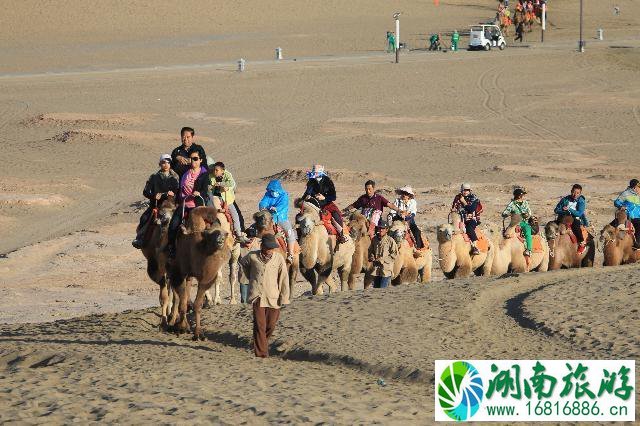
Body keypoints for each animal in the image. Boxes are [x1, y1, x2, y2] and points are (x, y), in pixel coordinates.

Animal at [141, 196, 180, 330]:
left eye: (174, 211)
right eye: (161, 212)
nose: (164, 219)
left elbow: (175, 295)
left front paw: (173, 319)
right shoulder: (157, 267)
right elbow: (164, 296)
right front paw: (163, 322)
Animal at [169, 206, 234, 340]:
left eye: (224, 234)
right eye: (211, 234)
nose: (220, 241)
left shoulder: (206, 278)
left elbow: (197, 304)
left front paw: (198, 333)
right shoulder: (180, 273)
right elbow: (182, 301)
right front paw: (182, 328)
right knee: (179, 298)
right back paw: (175, 323)